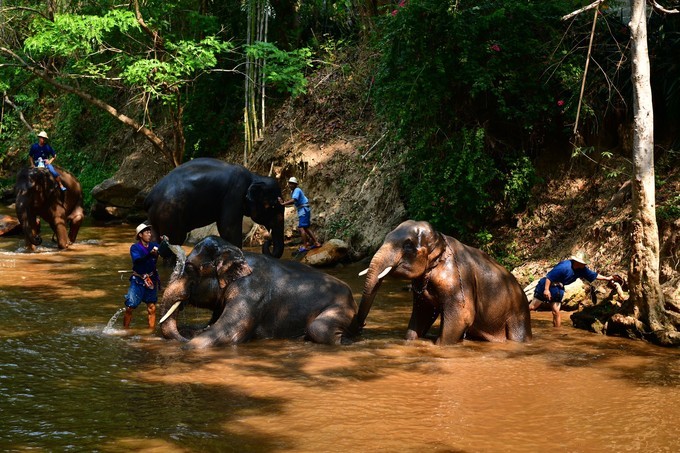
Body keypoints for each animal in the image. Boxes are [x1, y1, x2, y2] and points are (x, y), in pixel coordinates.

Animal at [143, 158, 284, 258]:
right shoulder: (234, 194)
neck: (254, 177)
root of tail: (149, 197)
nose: (268, 240)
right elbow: (228, 229)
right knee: (174, 241)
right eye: (272, 206)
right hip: (169, 213)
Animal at [159, 235, 358, 348]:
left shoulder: (250, 292)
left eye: (190, 268)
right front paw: (190, 332)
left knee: (320, 329)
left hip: (339, 308)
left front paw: (187, 347)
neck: (239, 253)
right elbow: (213, 324)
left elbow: (228, 332)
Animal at [350, 220, 532, 342]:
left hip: (518, 314)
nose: (362, 326)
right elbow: (422, 313)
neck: (440, 240)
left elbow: (462, 316)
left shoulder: (455, 279)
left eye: (407, 245)